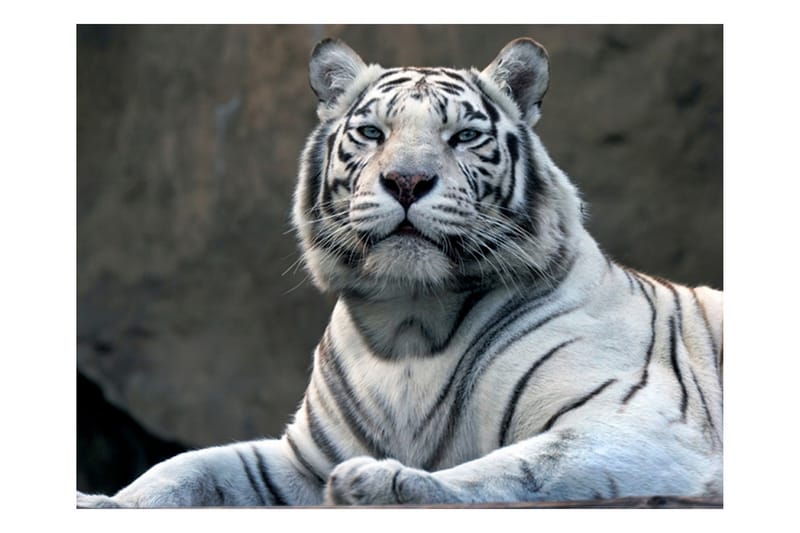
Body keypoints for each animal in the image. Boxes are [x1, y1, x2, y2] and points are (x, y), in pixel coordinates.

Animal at [77, 36, 723, 507]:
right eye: (372, 132)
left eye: (464, 136)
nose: (407, 180)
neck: (409, 323)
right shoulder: (302, 460)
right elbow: (189, 466)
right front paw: (107, 503)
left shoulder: (639, 424)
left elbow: (519, 469)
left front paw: (384, 483)